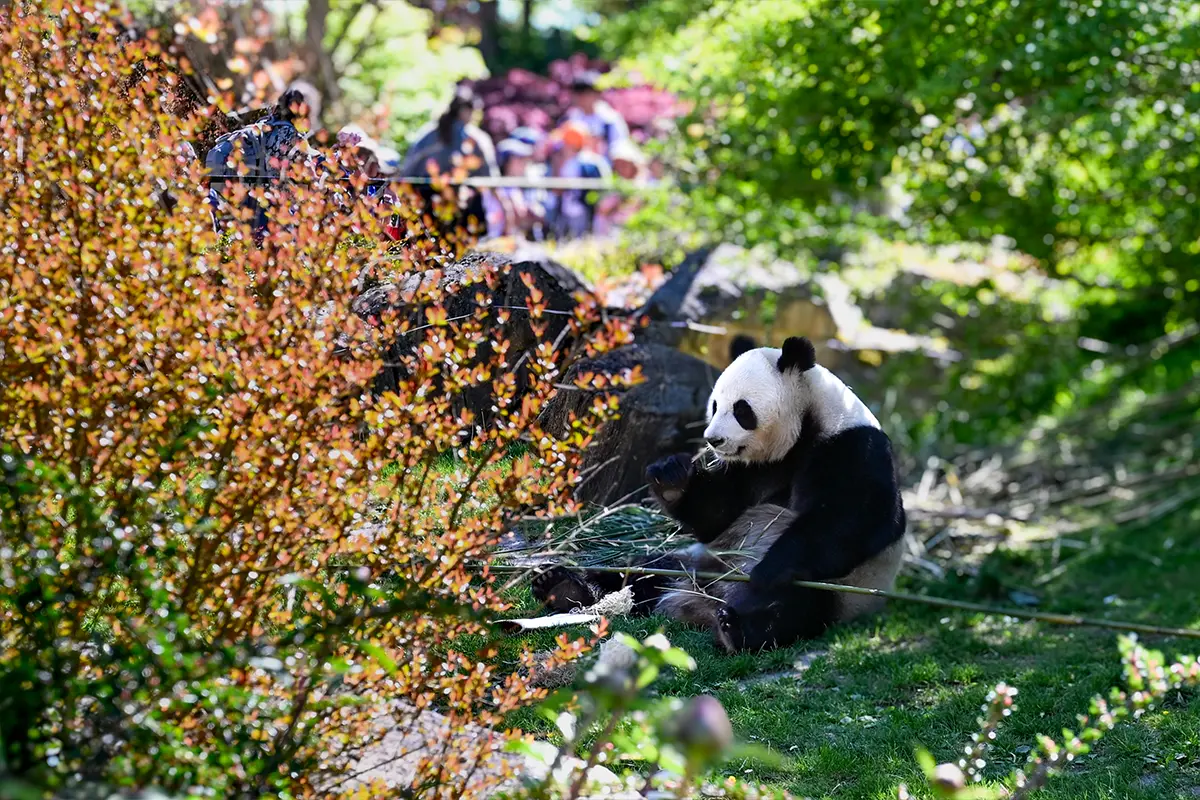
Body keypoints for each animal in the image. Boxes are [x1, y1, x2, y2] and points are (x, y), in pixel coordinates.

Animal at [531, 335, 906, 652]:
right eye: (714, 405)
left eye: (741, 409)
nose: (713, 440)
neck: (804, 424)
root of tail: (701, 601)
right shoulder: (750, 468)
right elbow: (717, 515)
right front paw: (671, 477)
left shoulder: (851, 447)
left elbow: (857, 518)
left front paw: (769, 570)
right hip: (698, 561)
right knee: (642, 568)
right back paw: (563, 586)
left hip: (841, 592)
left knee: (795, 607)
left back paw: (737, 628)